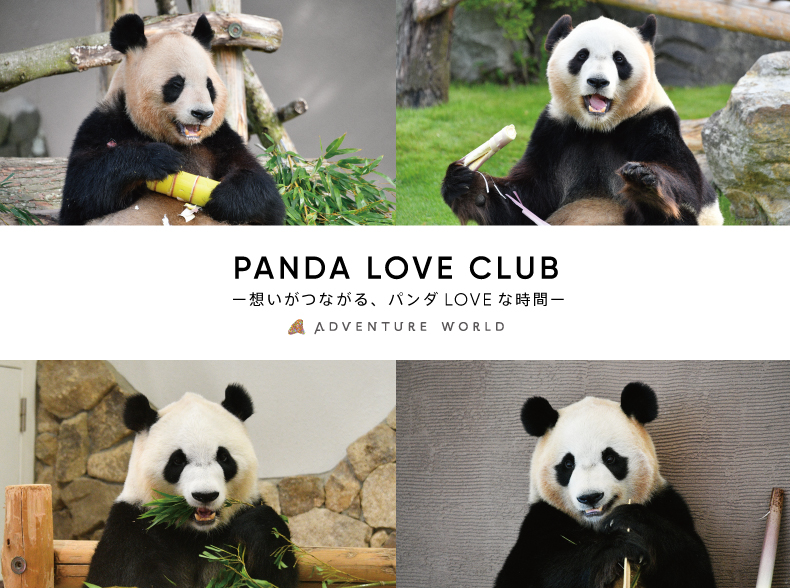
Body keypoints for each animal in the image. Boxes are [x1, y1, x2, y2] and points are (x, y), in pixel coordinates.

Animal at [59, 14, 285, 225]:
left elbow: (265, 193)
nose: (202, 113)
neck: (180, 143)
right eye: (176, 84)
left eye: (209, 85)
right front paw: (160, 158)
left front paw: (223, 197)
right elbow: (82, 191)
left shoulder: (220, 139)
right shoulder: (104, 124)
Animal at [86, 385, 297, 588]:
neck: (197, 534)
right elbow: (121, 576)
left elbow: (275, 573)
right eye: (177, 461)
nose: (205, 495)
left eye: (223, 457)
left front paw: (257, 525)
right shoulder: (133, 525)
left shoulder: (239, 519)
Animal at [442, 15, 723, 226]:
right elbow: (527, 197)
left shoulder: (653, 123)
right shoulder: (555, 133)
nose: (598, 81)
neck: (599, 128)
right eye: (581, 56)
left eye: (619, 58)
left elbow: (687, 186)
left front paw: (645, 183)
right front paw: (469, 188)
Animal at [495, 382, 716, 588]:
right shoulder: (541, 524)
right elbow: (530, 575)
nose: (590, 497)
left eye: (610, 458)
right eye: (568, 464)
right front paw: (619, 547)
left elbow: (694, 566)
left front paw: (630, 519)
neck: (597, 525)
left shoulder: (665, 503)